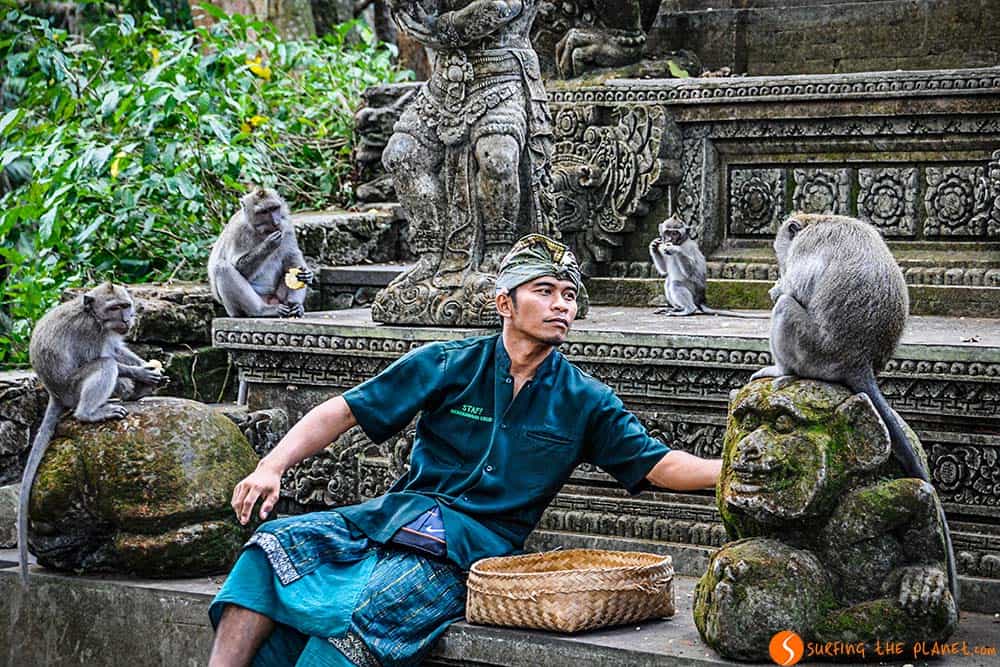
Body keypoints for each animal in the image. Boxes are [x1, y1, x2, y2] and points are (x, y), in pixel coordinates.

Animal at [19, 282, 167, 584]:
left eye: (126, 305)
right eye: (115, 308)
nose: (127, 319)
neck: (95, 317)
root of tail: (54, 393)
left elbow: (117, 348)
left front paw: (148, 368)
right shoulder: (89, 331)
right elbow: (106, 358)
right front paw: (142, 373)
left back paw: (137, 393)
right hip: (72, 390)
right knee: (104, 366)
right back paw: (91, 412)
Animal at [208, 187, 314, 318]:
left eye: (274, 208)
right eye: (264, 212)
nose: (276, 222)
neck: (260, 231)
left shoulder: (287, 225)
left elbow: (291, 255)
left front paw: (307, 275)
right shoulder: (239, 232)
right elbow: (238, 266)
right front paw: (269, 244)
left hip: (278, 297)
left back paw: (295, 305)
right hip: (234, 309)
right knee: (222, 267)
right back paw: (262, 310)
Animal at [751, 212, 958, 605]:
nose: (777, 261)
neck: (819, 220)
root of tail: (858, 362)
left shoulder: (806, 247)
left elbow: (793, 289)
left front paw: (778, 284)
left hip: (813, 351)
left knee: (787, 306)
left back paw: (782, 370)